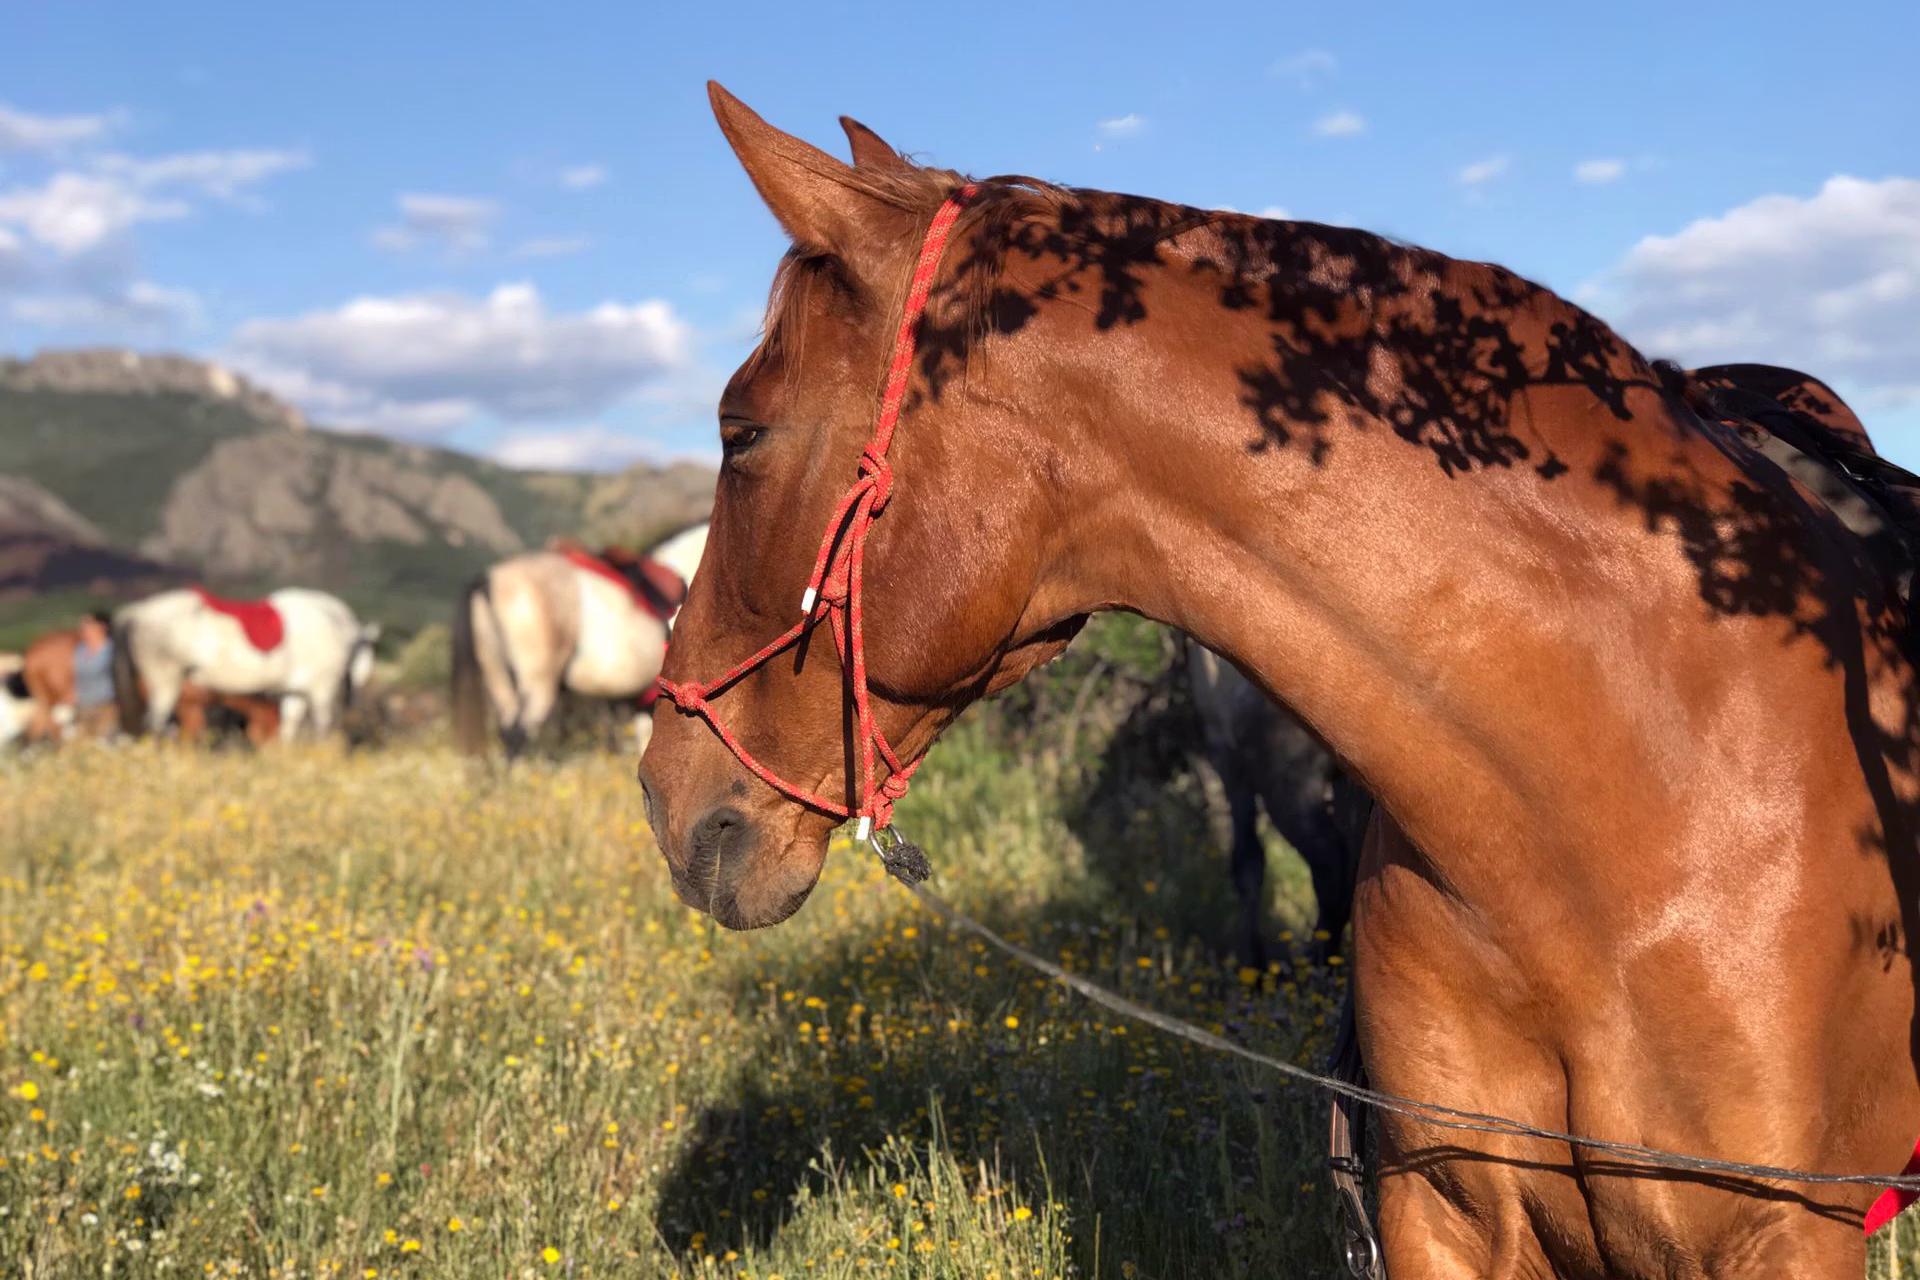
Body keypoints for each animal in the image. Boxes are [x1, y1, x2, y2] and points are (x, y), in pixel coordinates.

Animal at [113, 588, 378, 741]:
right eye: (365, 657)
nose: (357, 695)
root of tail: (135, 612)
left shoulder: (294, 691)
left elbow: (288, 726)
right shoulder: (320, 688)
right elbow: (322, 726)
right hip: (164, 679)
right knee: (155, 723)